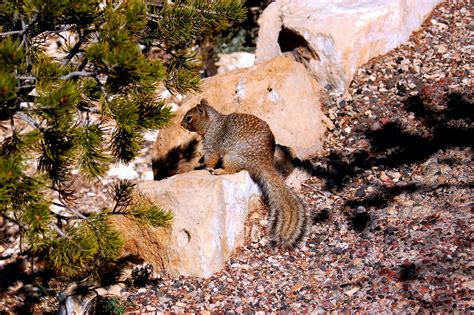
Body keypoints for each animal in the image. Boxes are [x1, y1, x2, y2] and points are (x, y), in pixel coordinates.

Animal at [180, 99, 310, 249]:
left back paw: (219, 171)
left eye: (189, 118)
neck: (212, 123)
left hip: (232, 157)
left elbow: (211, 159)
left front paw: (204, 167)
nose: (180, 124)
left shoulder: (212, 144)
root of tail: (264, 163)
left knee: (231, 170)